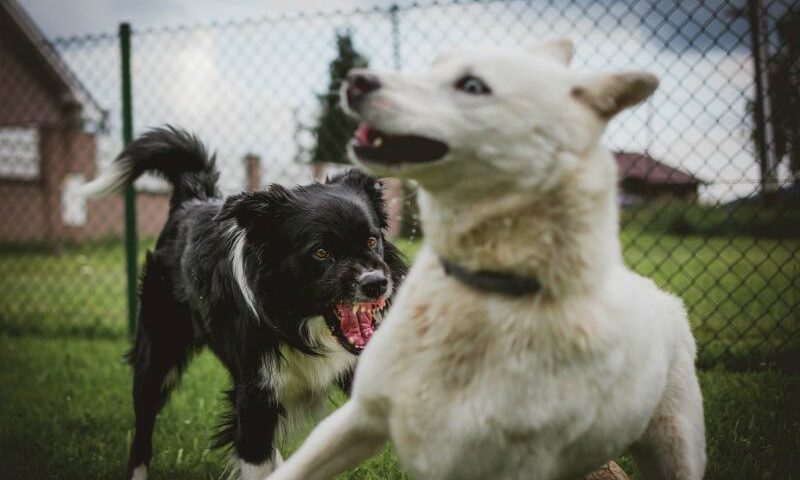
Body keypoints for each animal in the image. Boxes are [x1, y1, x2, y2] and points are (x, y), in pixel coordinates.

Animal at [81, 126, 406, 480]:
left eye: (372, 240)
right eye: (321, 252)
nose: (377, 284)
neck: (299, 321)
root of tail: (192, 198)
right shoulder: (255, 396)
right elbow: (255, 457)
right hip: (157, 352)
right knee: (143, 426)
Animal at [268, 39, 708, 478]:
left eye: (473, 85)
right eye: (435, 65)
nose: (355, 80)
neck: (482, 294)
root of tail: (660, 294)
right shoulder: (361, 415)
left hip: (675, 447)